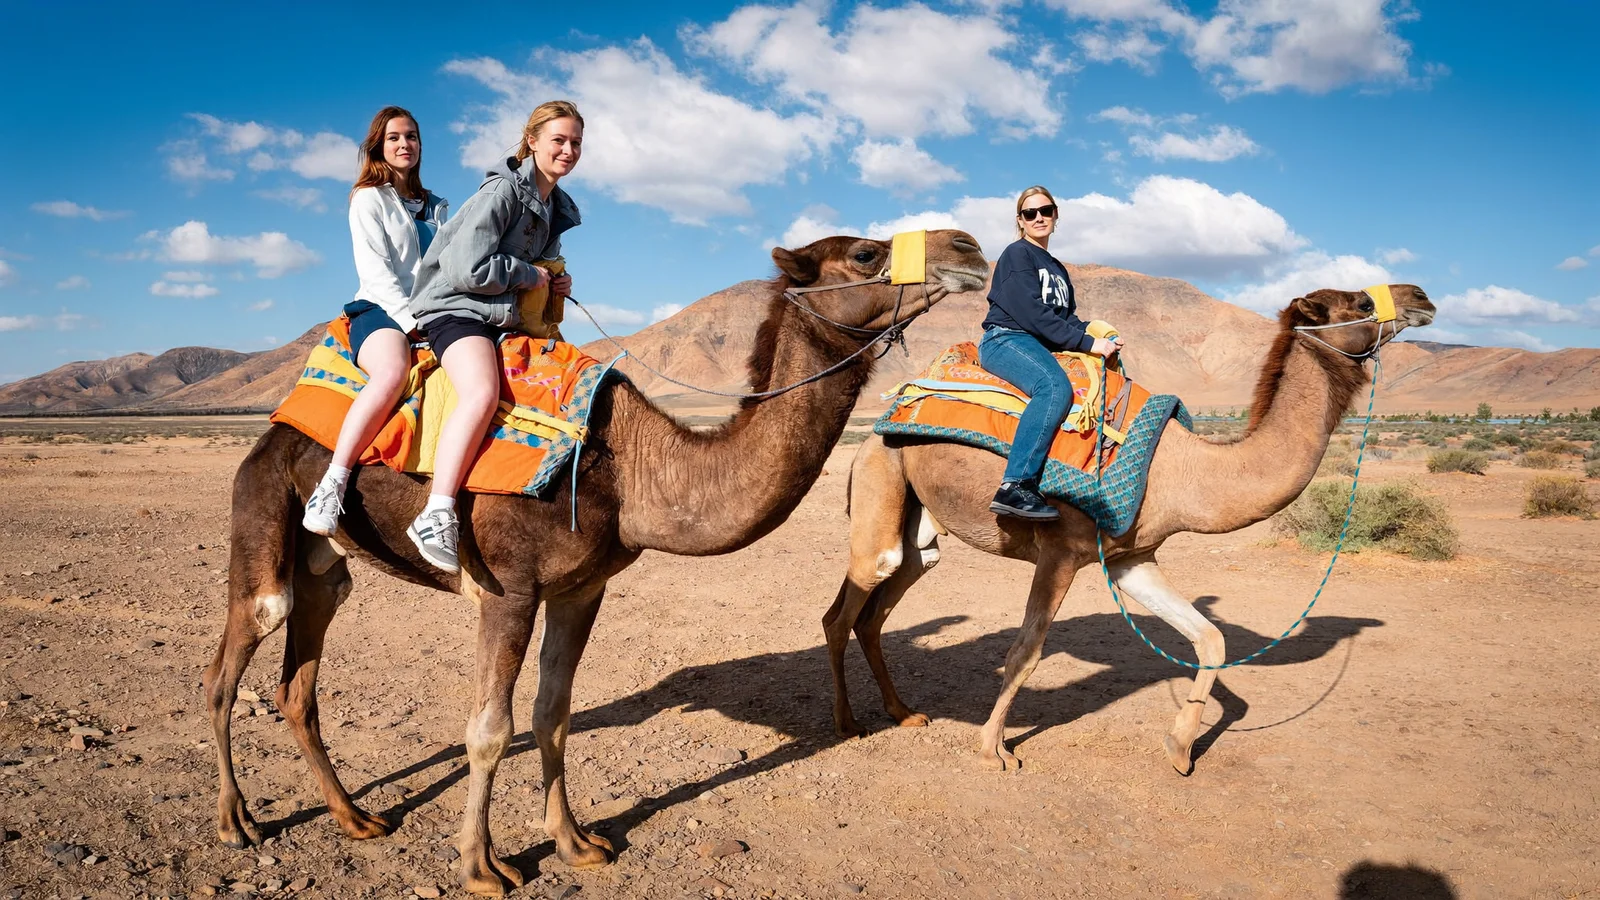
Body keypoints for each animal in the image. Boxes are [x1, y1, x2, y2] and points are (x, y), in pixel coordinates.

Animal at [202, 230, 988, 894]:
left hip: (325, 568)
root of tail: (275, 426)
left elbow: (553, 713)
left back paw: (356, 819)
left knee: (298, 685)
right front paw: (482, 867)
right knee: (232, 659)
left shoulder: (583, 589)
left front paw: (577, 844)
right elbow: (489, 730)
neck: (633, 469)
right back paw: (236, 822)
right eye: (865, 253)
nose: (969, 247)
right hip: (260, 507)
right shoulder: (508, 592)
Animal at [822, 285, 1435, 774]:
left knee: (883, 602)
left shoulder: (1130, 557)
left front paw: (1180, 748)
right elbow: (1026, 650)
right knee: (845, 608)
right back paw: (847, 722)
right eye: (1360, 304)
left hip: (918, 528)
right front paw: (993, 748)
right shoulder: (1061, 550)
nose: (1422, 297)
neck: (1184, 471)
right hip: (882, 472)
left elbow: (1210, 638)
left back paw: (903, 713)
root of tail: (884, 417)